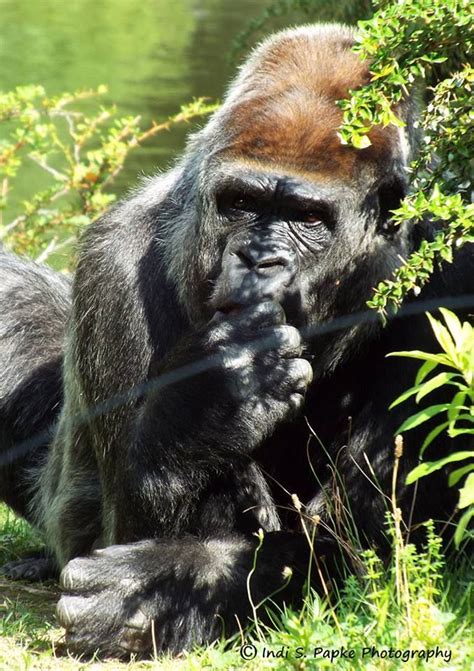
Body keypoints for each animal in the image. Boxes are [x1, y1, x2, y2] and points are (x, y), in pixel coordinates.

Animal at [0, 23, 470, 660]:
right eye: (241, 202)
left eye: (307, 216)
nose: (257, 258)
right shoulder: (112, 261)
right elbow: (139, 518)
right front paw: (208, 403)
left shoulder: (457, 277)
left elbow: (364, 545)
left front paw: (161, 589)